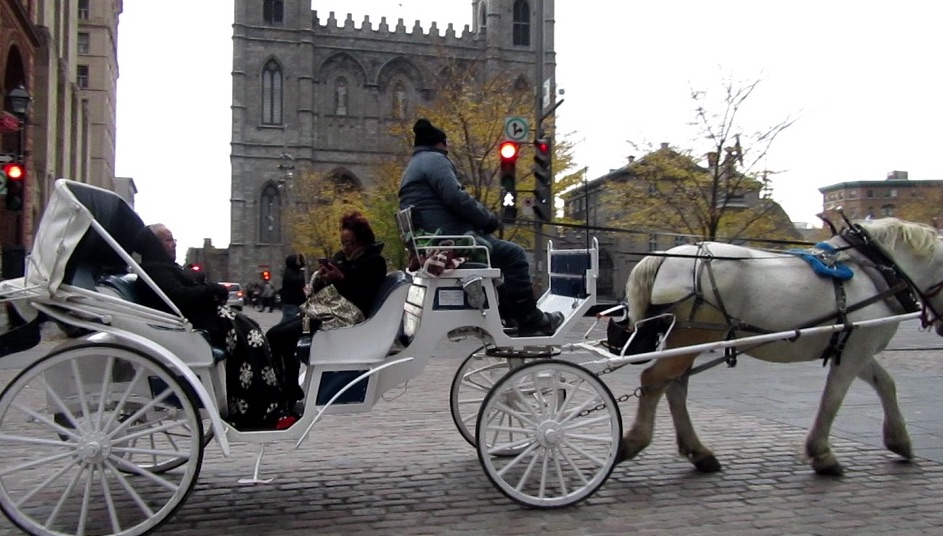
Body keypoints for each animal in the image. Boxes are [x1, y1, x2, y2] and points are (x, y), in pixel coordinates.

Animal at [620, 218, 943, 478]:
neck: (873, 270)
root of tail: (667, 259)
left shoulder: (858, 347)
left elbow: (885, 384)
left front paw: (899, 440)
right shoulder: (854, 350)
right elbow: (832, 399)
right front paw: (822, 455)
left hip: (685, 341)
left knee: (673, 386)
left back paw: (699, 452)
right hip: (691, 339)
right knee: (655, 381)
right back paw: (633, 442)